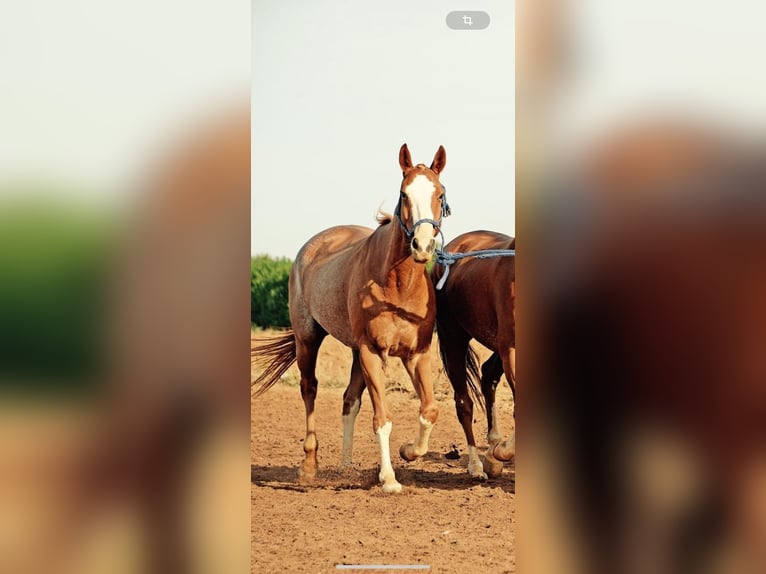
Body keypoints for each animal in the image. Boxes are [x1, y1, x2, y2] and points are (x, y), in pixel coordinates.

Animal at [252, 143, 450, 493]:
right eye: (403, 193)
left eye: (439, 194)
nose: (422, 246)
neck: (397, 284)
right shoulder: (373, 352)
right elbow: (382, 419)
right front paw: (389, 479)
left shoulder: (417, 353)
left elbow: (429, 410)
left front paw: (409, 451)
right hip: (308, 340)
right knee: (310, 390)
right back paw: (309, 466)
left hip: (356, 353)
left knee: (349, 401)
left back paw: (346, 466)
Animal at [431, 231, 516, 480]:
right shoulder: (511, 349)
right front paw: (503, 451)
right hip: (453, 338)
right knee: (464, 403)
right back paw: (477, 465)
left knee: (488, 375)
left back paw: (491, 456)